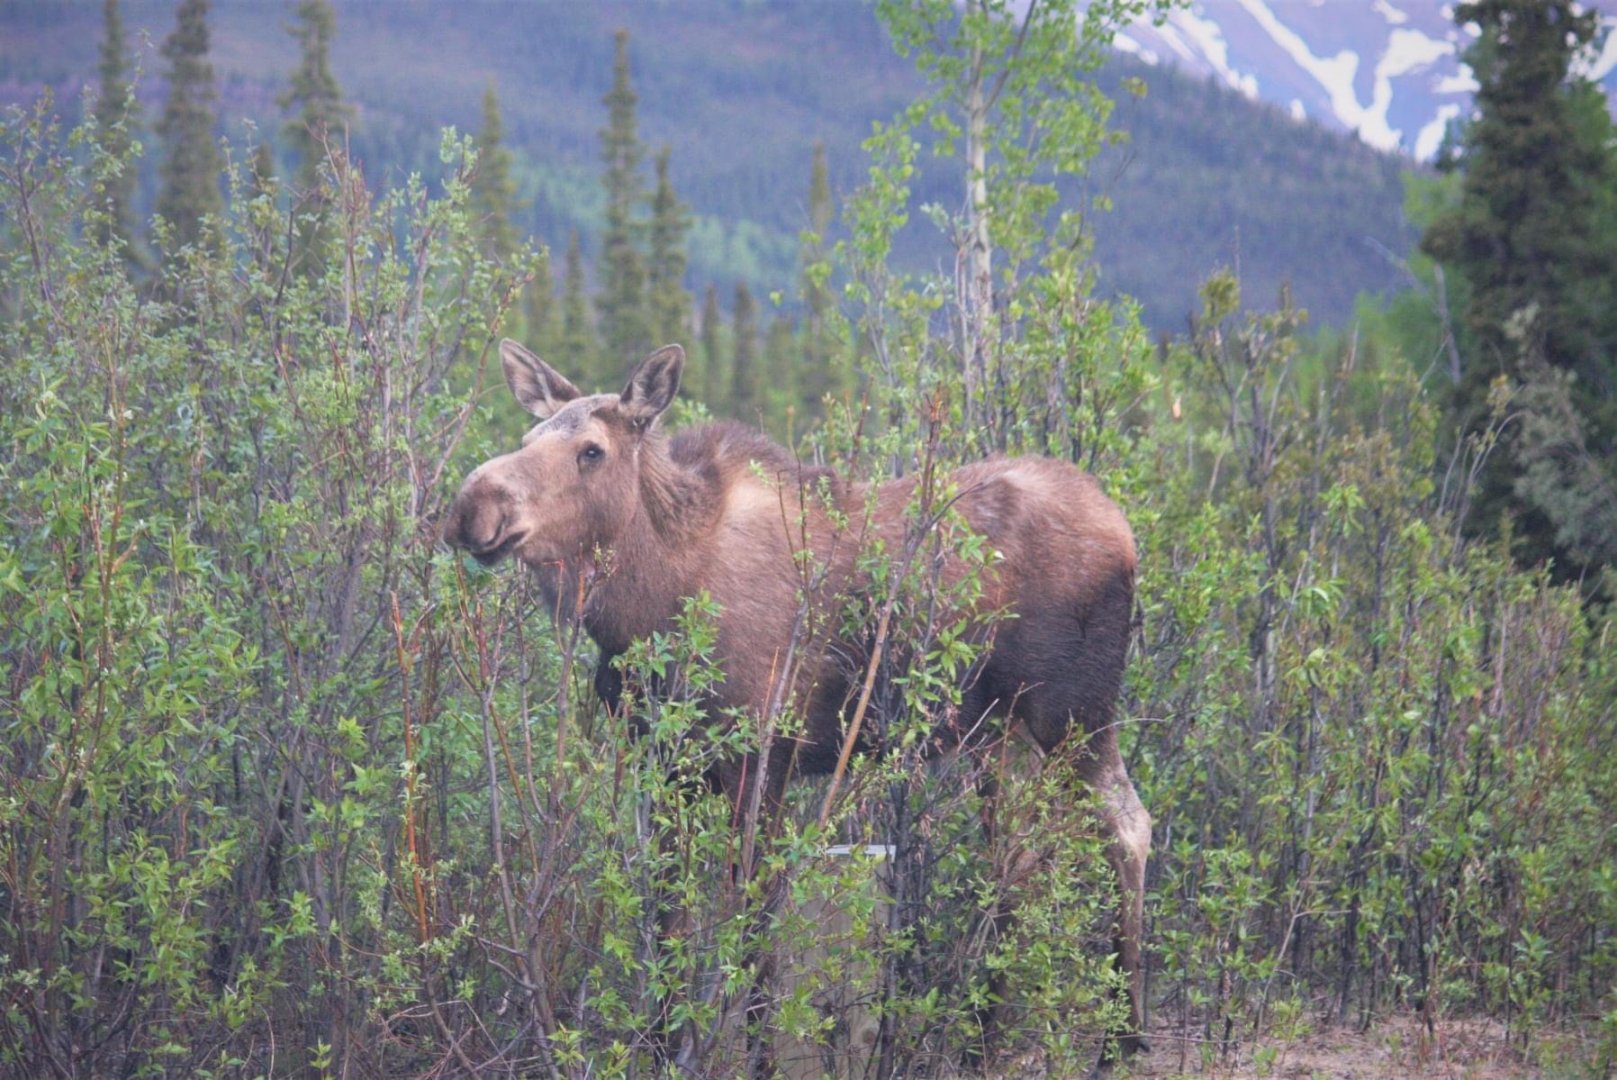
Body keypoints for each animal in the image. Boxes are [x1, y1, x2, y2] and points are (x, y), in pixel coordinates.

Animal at [442, 339, 1151, 1063]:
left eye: (592, 450)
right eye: (528, 438)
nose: (473, 505)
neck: (647, 605)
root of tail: (1124, 531)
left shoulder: (763, 756)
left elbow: (756, 925)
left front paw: (755, 1051)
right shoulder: (664, 761)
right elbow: (668, 916)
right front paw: (663, 1045)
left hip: (1075, 716)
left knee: (1127, 826)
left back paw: (1121, 1039)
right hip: (1000, 736)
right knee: (1018, 860)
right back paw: (985, 1040)